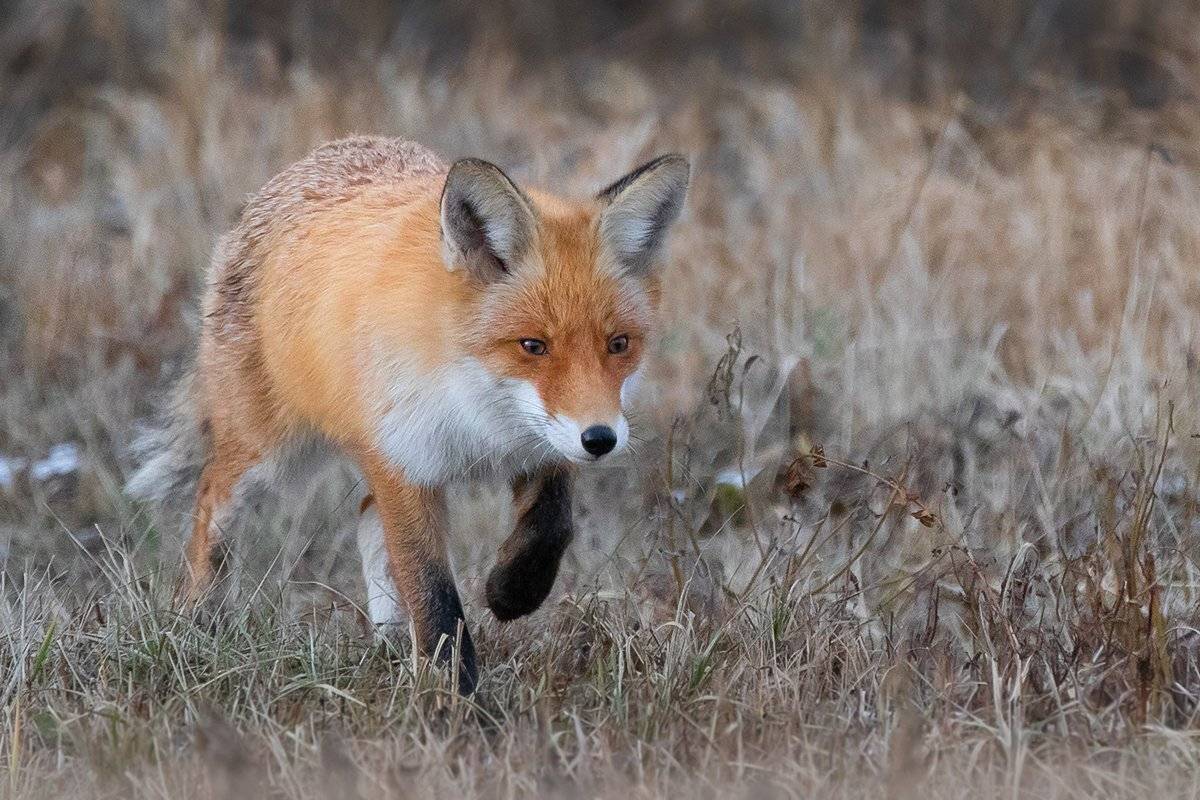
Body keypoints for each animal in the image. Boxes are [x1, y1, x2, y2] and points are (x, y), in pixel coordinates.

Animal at [127, 136, 689, 693]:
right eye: (533, 345)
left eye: (619, 344)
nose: (602, 440)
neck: (476, 412)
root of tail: (317, 158)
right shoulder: (405, 459)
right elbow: (433, 593)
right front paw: (454, 697)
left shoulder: (541, 441)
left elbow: (552, 525)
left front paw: (512, 592)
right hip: (266, 449)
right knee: (211, 504)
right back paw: (196, 621)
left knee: (364, 518)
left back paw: (391, 642)